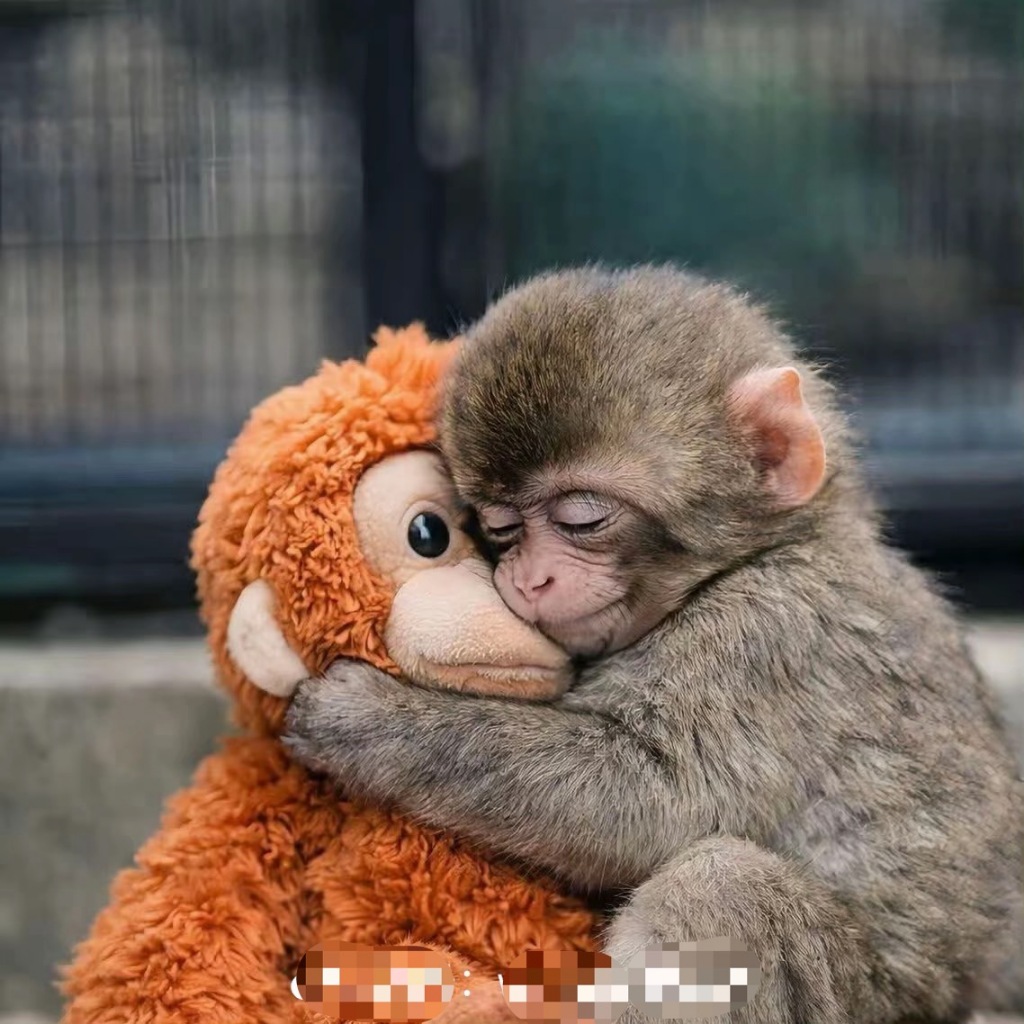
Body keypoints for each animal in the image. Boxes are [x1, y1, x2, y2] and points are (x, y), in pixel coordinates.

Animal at [284, 266, 1024, 1024]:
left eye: (583, 519)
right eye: (501, 528)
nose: (527, 579)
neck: (757, 557)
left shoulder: (765, 637)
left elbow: (656, 799)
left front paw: (366, 717)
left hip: (863, 1001)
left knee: (722, 887)